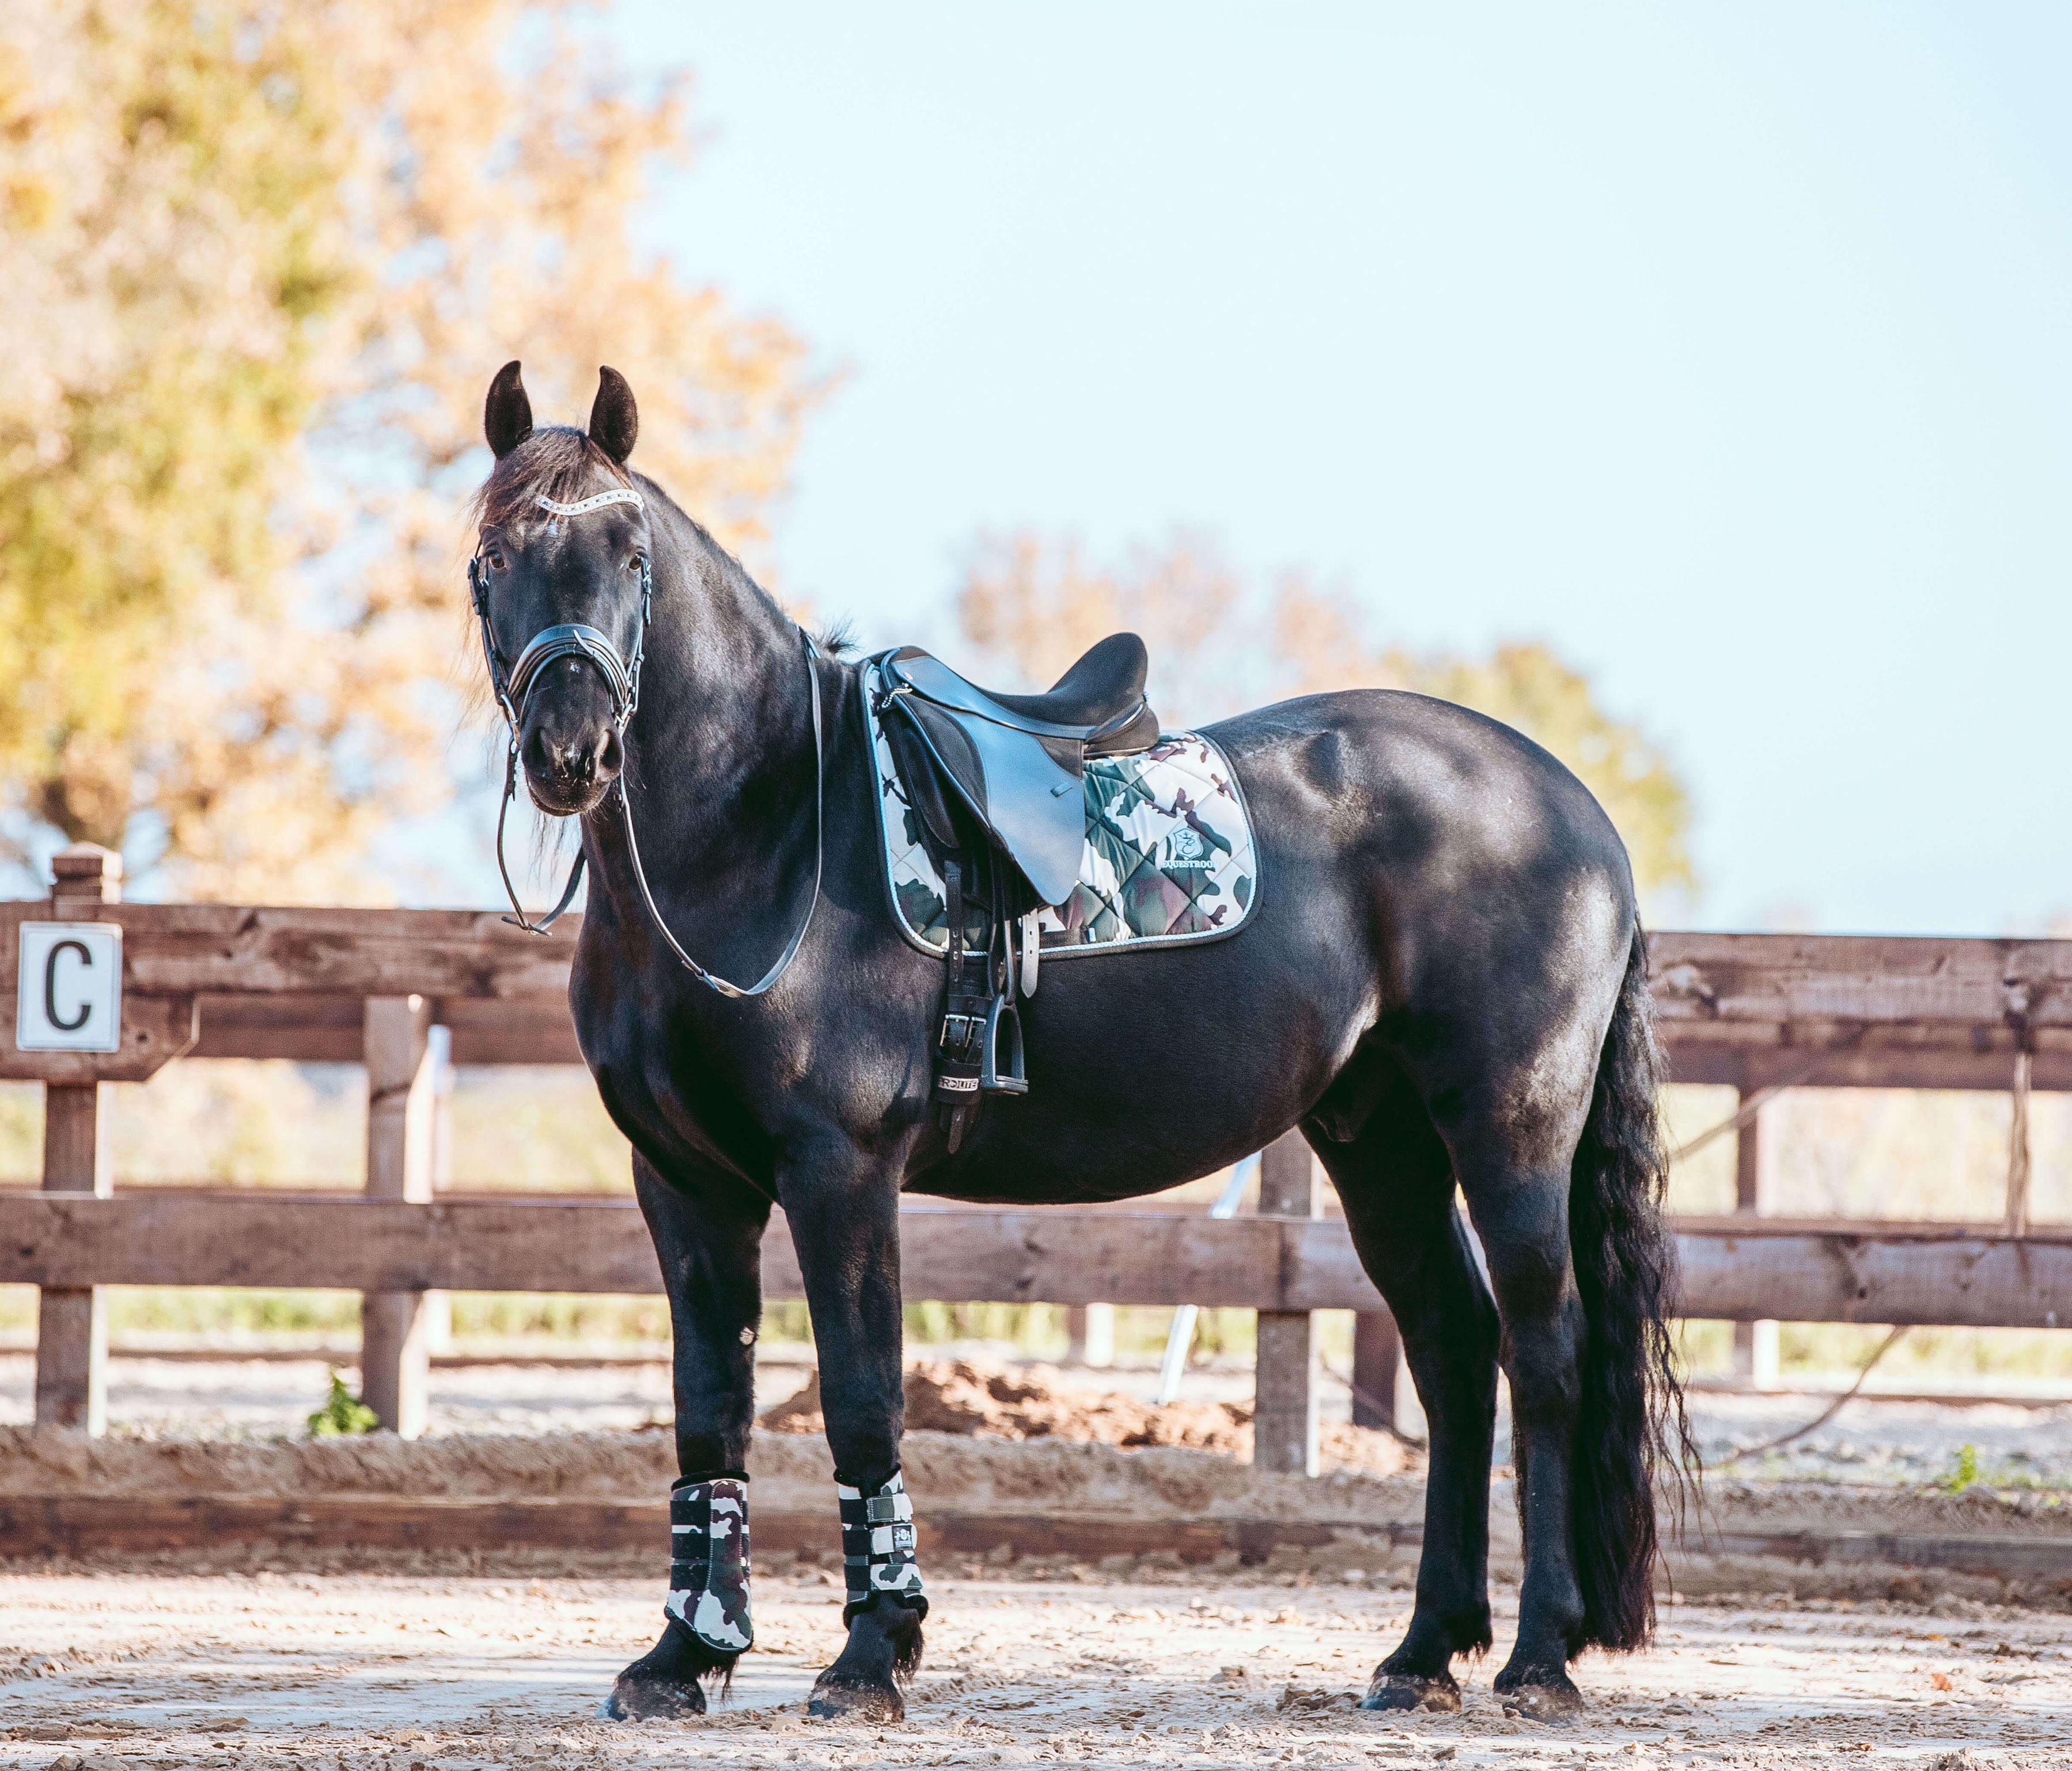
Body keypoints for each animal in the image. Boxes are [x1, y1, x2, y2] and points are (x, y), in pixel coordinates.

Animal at [466, 364, 1682, 1731]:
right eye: (493, 556)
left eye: (631, 556)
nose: (571, 754)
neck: (766, 827)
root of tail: (1570, 807)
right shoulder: (685, 1183)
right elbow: (707, 1411)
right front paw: (683, 1654)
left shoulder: (840, 1171)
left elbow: (862, 1399)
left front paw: (872, 1653)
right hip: (1381, 1139)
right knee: (1456, 1351)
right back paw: (1423, 1650)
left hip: (1509, 1130)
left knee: (1544, 1351)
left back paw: (1537, 1656)